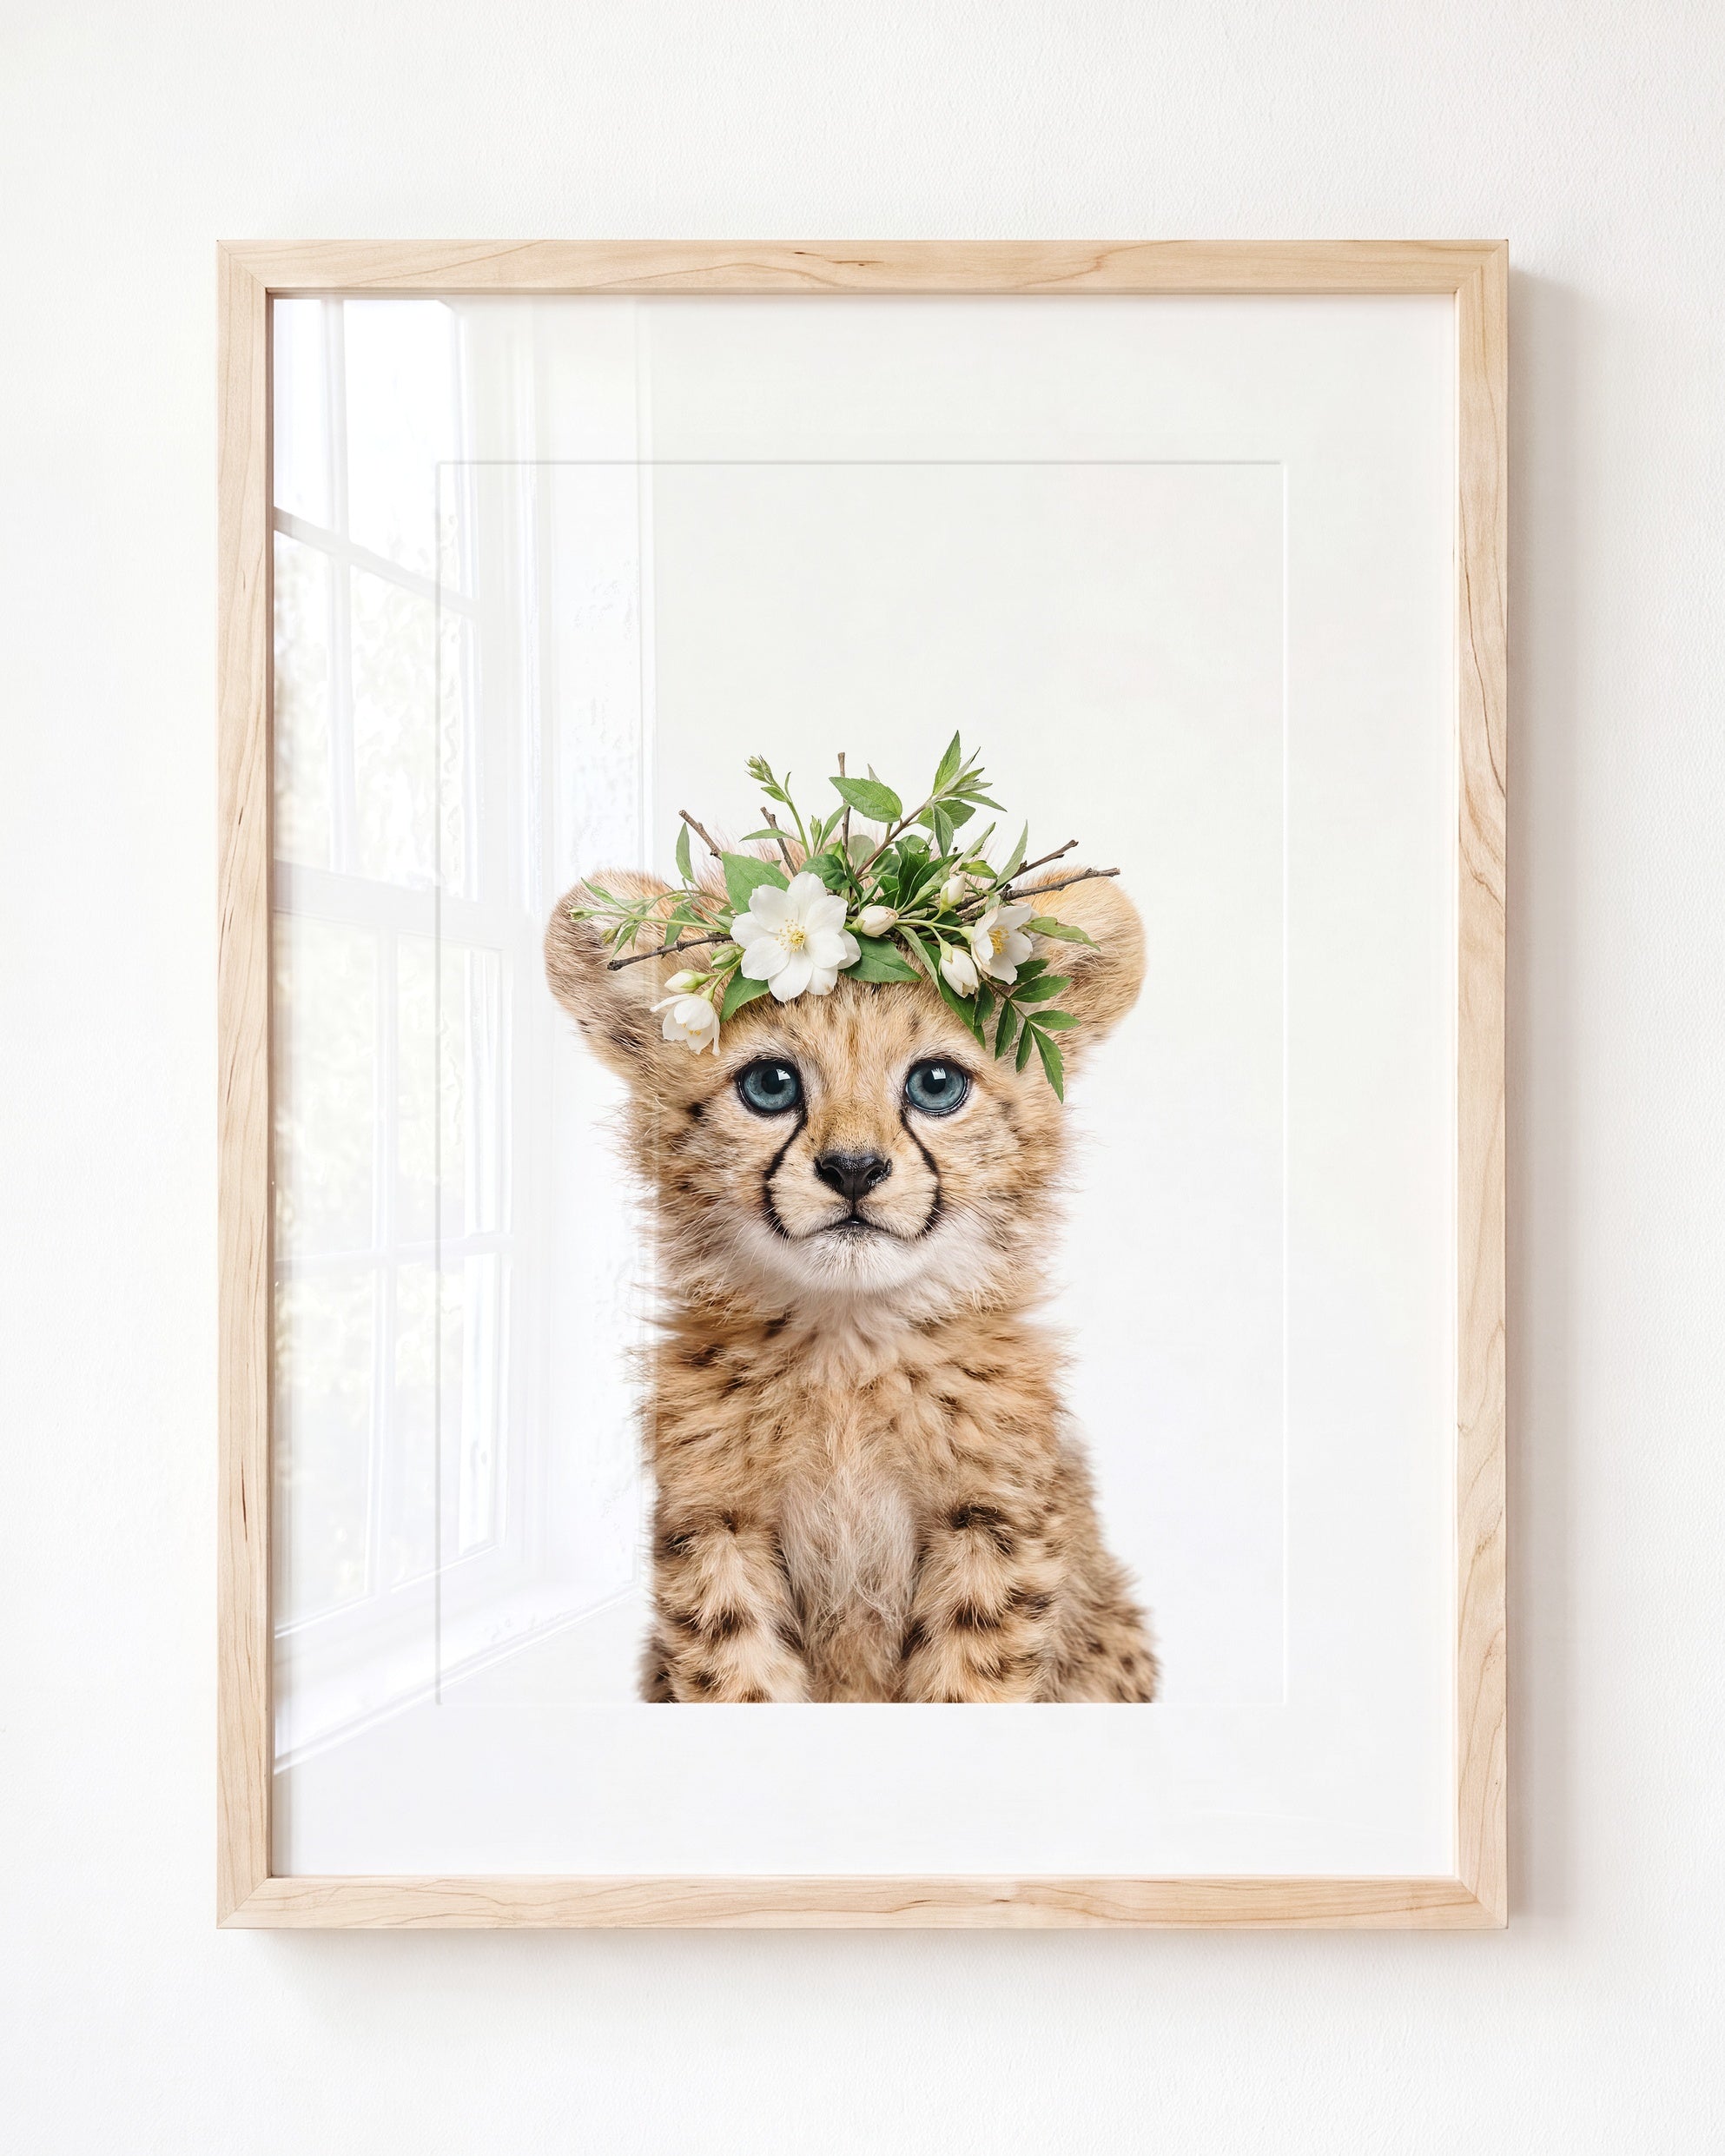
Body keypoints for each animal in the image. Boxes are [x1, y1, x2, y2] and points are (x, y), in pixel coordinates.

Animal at [543, 863, 1159, 1703]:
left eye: (936, 1084)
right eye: (771, 1084)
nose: (854, 1169)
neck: (848, 1345)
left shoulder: (992, 1526)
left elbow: (971, 1682)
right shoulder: (716, 1526)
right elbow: (738, 1677)